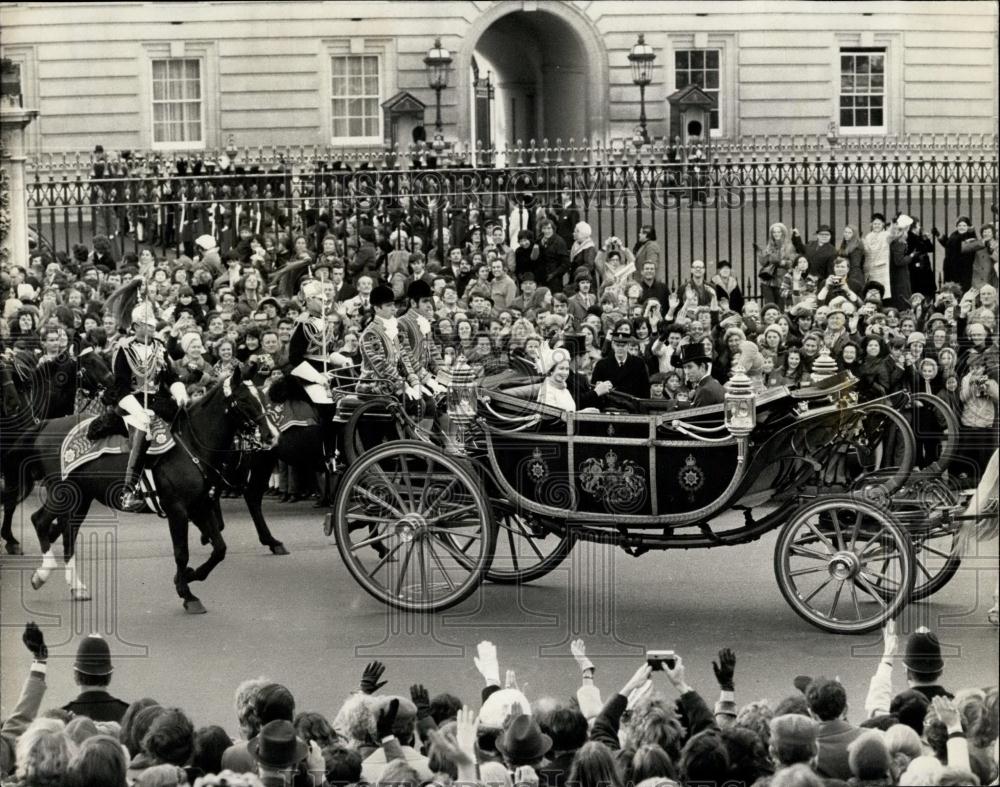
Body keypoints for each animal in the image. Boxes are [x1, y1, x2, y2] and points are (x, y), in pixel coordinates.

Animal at [0, 350, 114, 556]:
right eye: (90, 362)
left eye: (103, 360)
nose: (114, 388)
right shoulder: (15, 468)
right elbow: (11, 501)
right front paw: (11, 539)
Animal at [28, 370, 278, 616]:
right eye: (244, 400)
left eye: (263, 398)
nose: (272, 435)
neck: (191, 446)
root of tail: (47, 424)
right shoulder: (178, 510)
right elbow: (182, 552)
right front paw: (187, 594)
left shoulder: (200, 507)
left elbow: (220, 549)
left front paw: (189, 575)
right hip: (63, 492)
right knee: (40, 521)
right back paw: (43, 574)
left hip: (81, 498)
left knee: (67, 533)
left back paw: (76, 587)